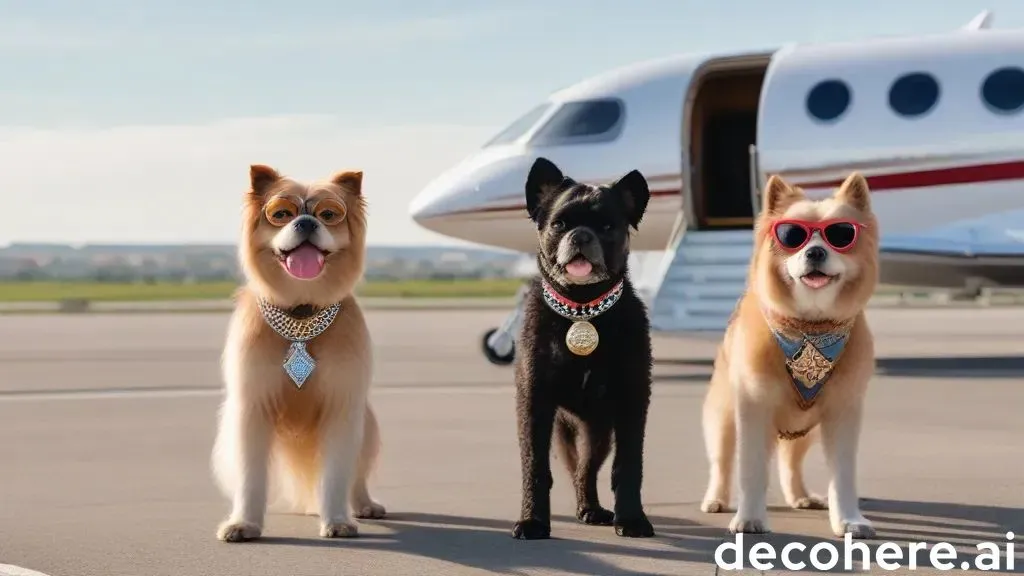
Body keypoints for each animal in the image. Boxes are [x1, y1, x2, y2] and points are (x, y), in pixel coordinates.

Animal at [210, 163, 385, 541]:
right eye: (281, 214)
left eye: (329, 214)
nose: (306, 222)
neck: (301, 313)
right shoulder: (253, 407)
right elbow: (250, 476)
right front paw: (243, 524)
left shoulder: (342, 406)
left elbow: (336, 473)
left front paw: (337, 521)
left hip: (368, 424)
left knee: (358, 474)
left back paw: (363, 504)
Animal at [512, 156, 655, 537]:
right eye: (559, 223)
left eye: (607, 226)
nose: (581, 235)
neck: (583, 310)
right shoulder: (535, 402)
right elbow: (535, 467)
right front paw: (533, 521)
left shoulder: (632, 402)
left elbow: (629, 465)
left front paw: (632, 519)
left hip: (598, 431)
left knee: (585, 470)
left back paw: (591, 508)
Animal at [704, 171, 880, 537]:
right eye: (792, 236)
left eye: (840, 234)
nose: (814, 252)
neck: (810, 330)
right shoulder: (754, 409)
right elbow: (751, 470)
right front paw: (749, 518)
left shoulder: (843, 413)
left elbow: (842, 475)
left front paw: (849, 520)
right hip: (724, 418)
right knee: (722, 463)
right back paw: (716, 499)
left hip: (804, 432)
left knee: (790, 464)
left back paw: (801, 496)